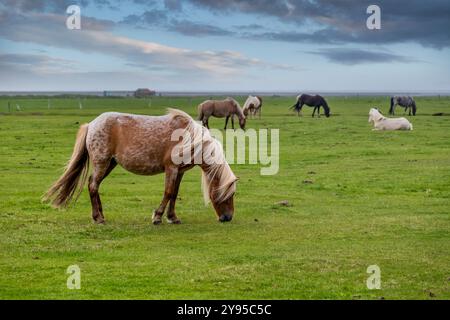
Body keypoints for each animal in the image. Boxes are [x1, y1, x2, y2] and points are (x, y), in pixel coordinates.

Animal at [43, 110, 237, 225]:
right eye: (228, 194)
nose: (228, 218)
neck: (189, 137)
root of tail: (91, 125)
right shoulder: (171, 169)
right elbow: (168, 192)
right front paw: (157, 217)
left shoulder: (179, 171)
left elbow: (174, 193)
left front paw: (172, 217)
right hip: (101, 162)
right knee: (92, 185)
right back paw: (98, 218)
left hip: (110, 164)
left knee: (94, 185)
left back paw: (100, 215)